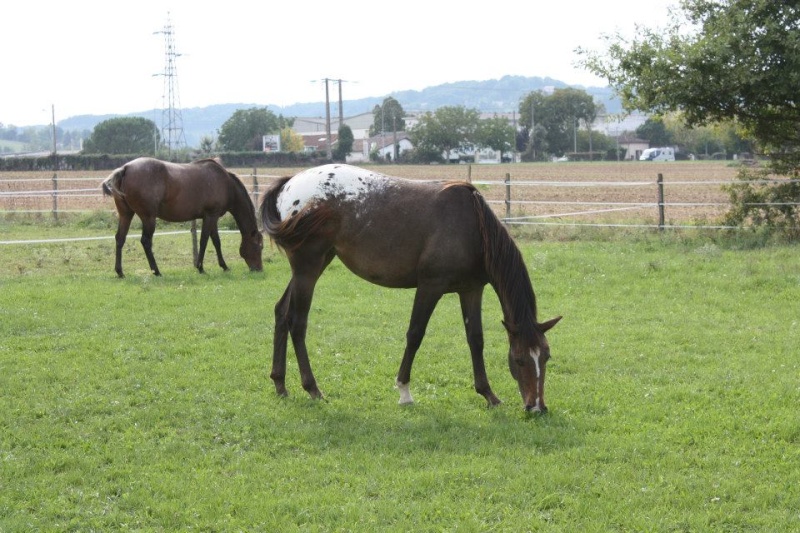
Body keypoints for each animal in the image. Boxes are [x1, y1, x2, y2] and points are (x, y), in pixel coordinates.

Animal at [101, 156, 264, 276]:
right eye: (259, 247)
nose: (258, 269)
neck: (225, 183)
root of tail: (126, 168)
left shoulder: (212, 217)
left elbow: (216, 241)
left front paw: (224, 266)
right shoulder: (211, 216)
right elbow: (204, 241)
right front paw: (200, 267)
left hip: (126, 214)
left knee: (120, 239)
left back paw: (120, 272)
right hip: (148, 218)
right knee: (146, 241)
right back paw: (156, 271)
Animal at [262, 162, 564, 412]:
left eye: (546, 357)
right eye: (520, 360)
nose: (537, 408)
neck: (472, 226)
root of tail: (290, 183)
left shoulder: (471, 290)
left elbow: (475, 339)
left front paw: (488, 394)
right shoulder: (430, 287)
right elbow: (415, 334)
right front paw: (404, 391)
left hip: (316, 264)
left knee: (281, 312)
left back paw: (280, 383)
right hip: (308, 268)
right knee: (297, 322)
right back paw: (312, 388)